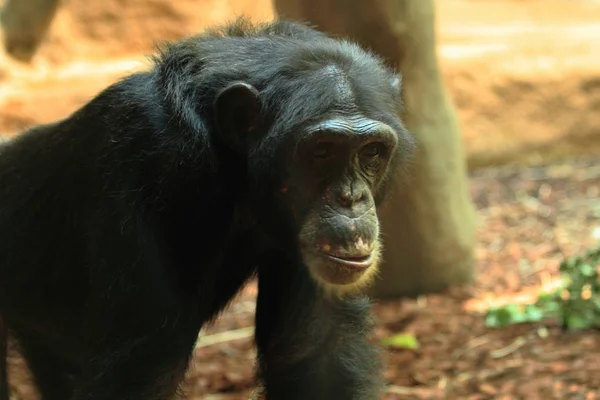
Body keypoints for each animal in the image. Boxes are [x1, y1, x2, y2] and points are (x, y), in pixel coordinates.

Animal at [0, 18, 412, 400]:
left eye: (371, 151)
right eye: (322, 151)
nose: (351, 198)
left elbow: (316, 350)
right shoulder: (147, 153)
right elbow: (147, 365)